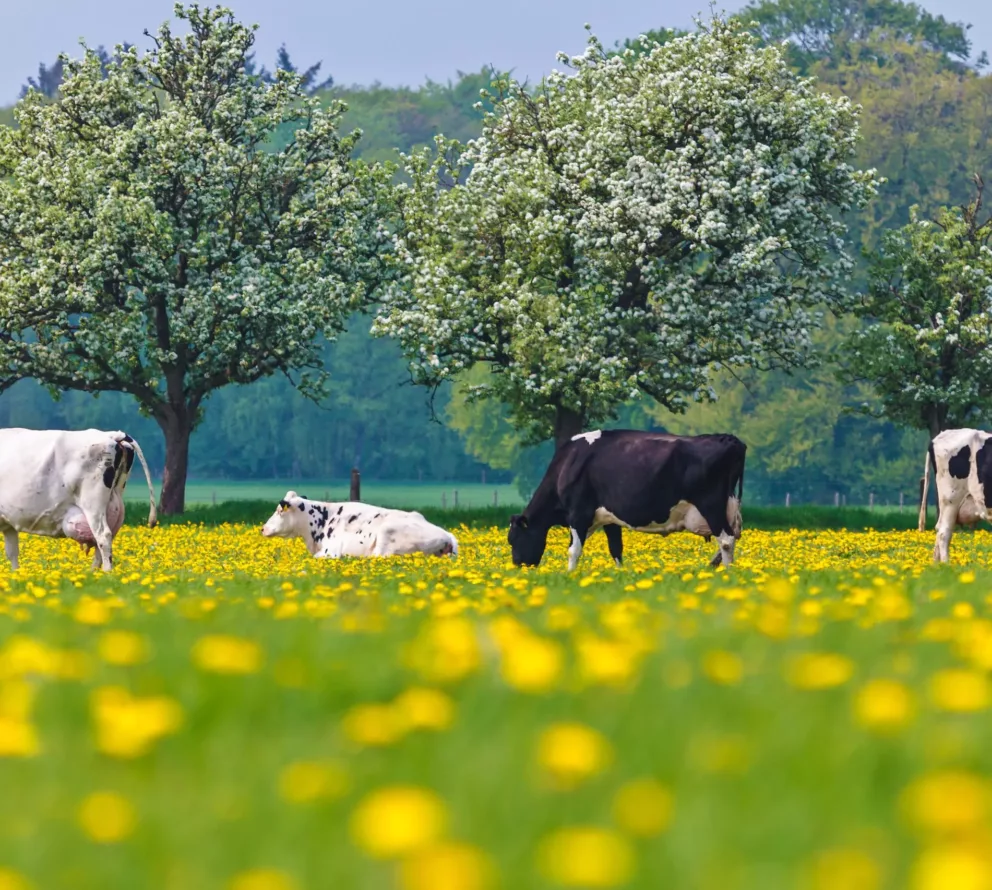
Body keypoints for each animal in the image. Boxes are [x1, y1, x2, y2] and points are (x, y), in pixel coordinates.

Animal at [0, 428, 157, 568]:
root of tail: (112, 435)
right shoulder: (8, 523)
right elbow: (12, 553)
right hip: (114, 504)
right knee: (106, 539)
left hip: (93, 504)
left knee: (104, 537)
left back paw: (106, 573)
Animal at [512, 428, 744, 568]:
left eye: (513, 539)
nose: (517, 566)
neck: (567, 464)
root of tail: (728, 439)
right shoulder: (607, 518)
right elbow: (616, 549)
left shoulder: (577, 513)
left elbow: (573, 550)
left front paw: (570, 575)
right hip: (728, 507)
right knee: (730, 538)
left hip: (710, 505)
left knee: (726, 540)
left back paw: (726, 573)